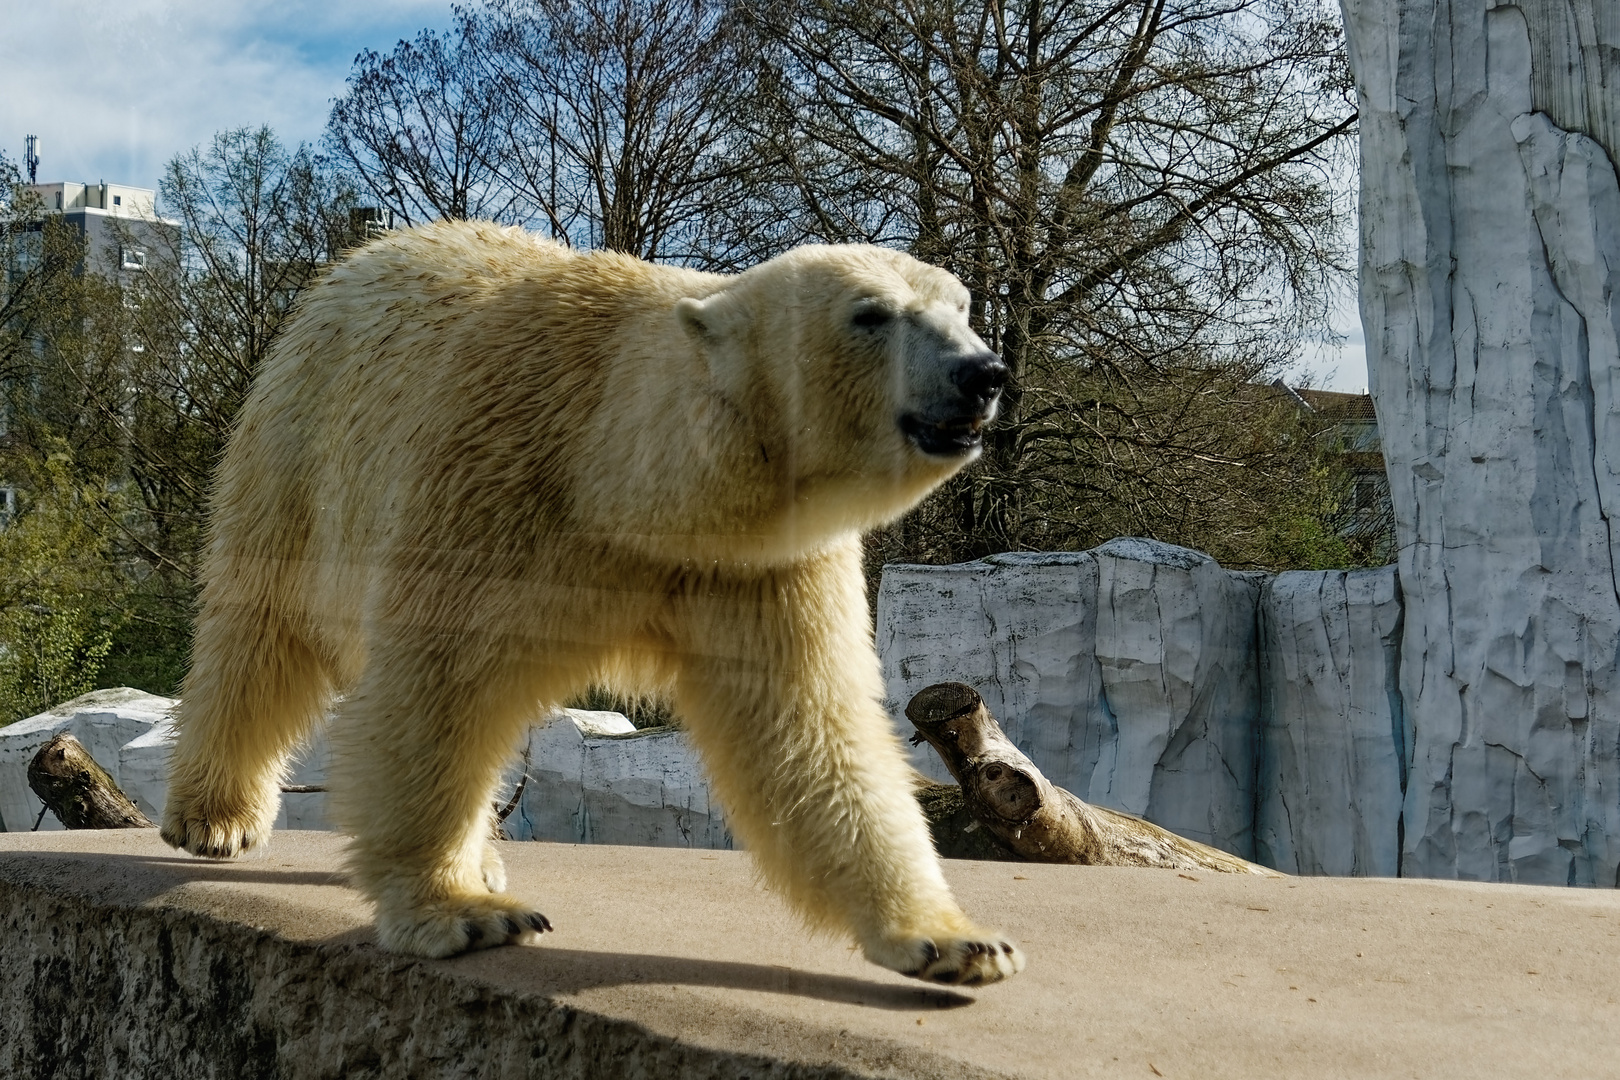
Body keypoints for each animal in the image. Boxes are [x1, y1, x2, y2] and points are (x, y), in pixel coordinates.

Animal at [164, 221, 1023, 990]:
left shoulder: (755, 564)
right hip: (298, 446)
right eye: (870, 314)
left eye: (960, 305)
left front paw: (956, 941)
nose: (983, 372)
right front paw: (463, 913)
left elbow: (807, 731)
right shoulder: (489, 489)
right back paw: (216, 817)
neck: (614, 473)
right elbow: (435, 690)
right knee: (259, 630)